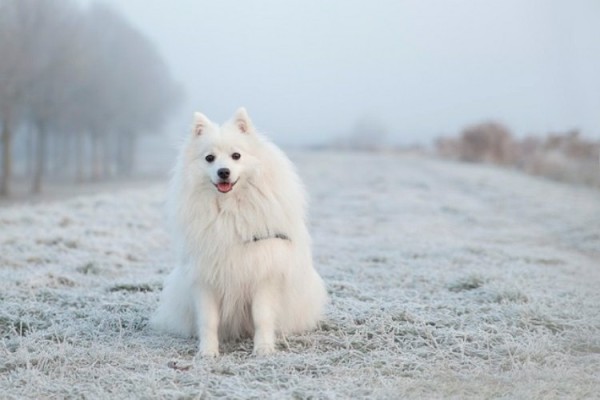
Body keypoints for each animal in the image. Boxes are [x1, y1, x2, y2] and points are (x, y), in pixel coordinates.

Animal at [151, 107, 328, 356]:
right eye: (209, 158)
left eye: (236, 155)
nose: (223, 172)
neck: (229, 210)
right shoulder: (205, 278)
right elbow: (208, 320)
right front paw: (207, 352)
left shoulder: (264, 274)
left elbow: (262, 316)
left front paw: (263, 349)